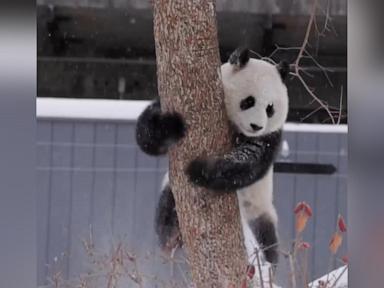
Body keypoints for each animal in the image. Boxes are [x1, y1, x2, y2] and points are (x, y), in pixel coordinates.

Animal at [135, 46, 288, 266]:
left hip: (260, 210)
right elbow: (147, 133)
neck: (237, 129)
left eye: (270, 108)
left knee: (267, 238)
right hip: (171, 192)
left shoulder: (269, 137)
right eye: (248, 101)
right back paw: (171, 237)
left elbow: (249, 162)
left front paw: (200, 169)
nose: (257, 126)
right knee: (167, 210)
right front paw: (171, 126)